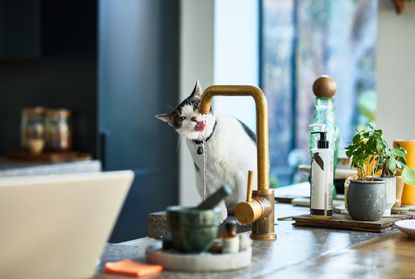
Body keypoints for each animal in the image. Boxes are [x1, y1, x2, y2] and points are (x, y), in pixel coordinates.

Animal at [158, 81, 258, 223]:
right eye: (182, 118)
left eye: (196, 106)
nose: (194, 118)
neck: (207, 141)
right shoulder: (210, 178)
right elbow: (217, 197)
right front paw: (220, 215)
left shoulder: (243, 172)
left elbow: (244, 194)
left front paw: (243, 215)